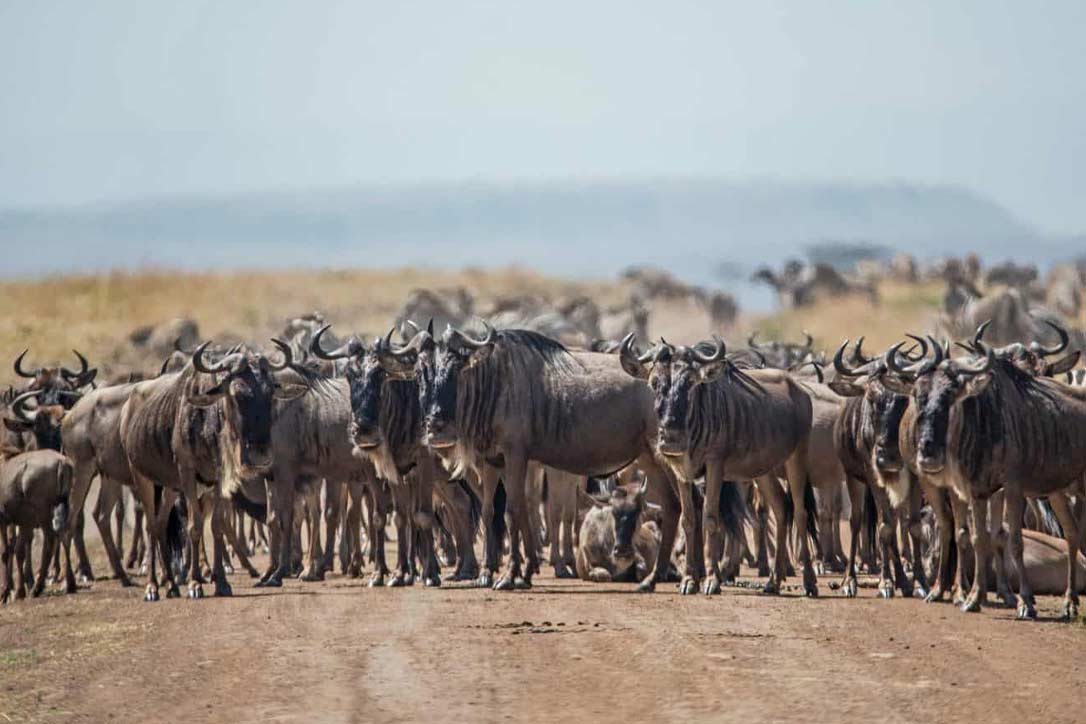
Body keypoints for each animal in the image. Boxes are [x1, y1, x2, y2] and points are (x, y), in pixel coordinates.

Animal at [0, 449, 73, 603]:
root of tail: (61, 461)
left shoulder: (4, 521)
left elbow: (5, 552)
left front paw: (5, 592)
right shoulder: (24, 523)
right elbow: (18, 551)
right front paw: (19, 591)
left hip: (43, 513)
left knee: (50, 541)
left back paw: (37, 588)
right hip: (62, 506)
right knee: (65, 534)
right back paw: (70, 584)